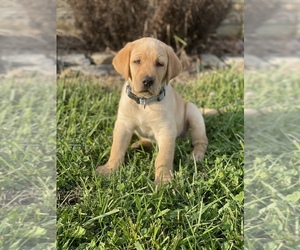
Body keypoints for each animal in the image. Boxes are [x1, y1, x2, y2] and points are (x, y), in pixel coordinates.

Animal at [97, 37, 207, 186]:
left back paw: (197, 155)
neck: (144, 102)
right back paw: (138, 145)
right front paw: (109, 168)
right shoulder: (123, 125)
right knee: (148, 140)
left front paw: (163, 180)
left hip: (192, 110)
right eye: (137, 61)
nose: (148, 81)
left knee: (201, 140)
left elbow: (163, 158)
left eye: (160, 64)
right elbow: (117, 148)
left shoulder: (166, 131)